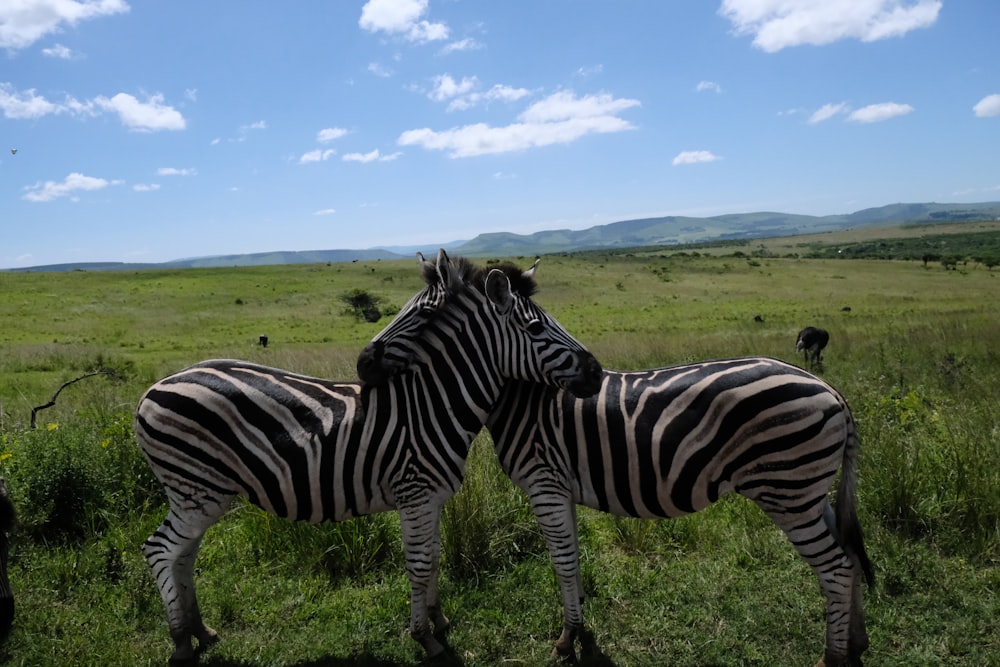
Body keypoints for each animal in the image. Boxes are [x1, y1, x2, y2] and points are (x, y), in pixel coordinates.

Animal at [133, 249, 600, 664]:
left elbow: (434, 557)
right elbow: (418, 564)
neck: (434, 402)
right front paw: (424, 639)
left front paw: (439, 622)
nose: (596, 373)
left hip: (202, 495)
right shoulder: (414, 494)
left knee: (183, 555)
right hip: (195, 488)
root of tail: (152, 389)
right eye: (536, 328)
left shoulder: (431, 499)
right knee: (160, 550)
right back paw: (180, 642)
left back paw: (201, 631)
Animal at [488, 358, 872, 664]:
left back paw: (832, 657)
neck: (521, 397)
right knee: (851, 556)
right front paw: (579, 617)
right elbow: (573, 557)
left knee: (835, 568)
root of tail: (831, 391)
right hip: (809, 493)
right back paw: (855, 643)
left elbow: (563, 565)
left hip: (789, 492)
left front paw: (567, 639)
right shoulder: (561, 486)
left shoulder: (544, 481)